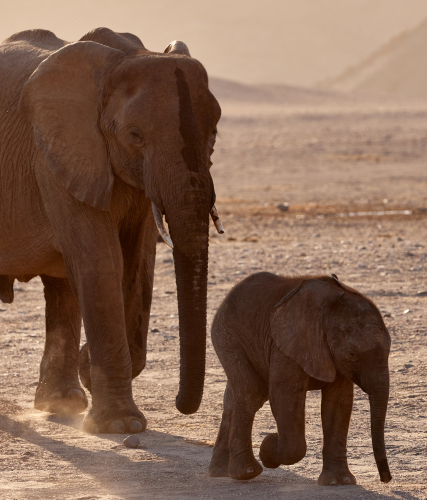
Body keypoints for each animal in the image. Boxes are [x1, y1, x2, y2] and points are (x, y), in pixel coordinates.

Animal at [0, 27, 224, 434]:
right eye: (134, 135)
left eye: (214, 132)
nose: (182, 405)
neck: (125, 57)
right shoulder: (56, 153)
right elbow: (102, 262)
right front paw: (121, 426)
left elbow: (137, 263)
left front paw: (90, 372)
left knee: (62, 283)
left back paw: (63, 403)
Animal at [209, 274, 392, 484]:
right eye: (352, 355)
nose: (386, 479)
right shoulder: (285, 346)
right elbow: (285, 396)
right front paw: (268, 445)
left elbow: (338, 403)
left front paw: (340, 482)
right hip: (227, 337)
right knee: (251, 394)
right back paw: (246, 472)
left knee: (236, 397)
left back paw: (220, 472)